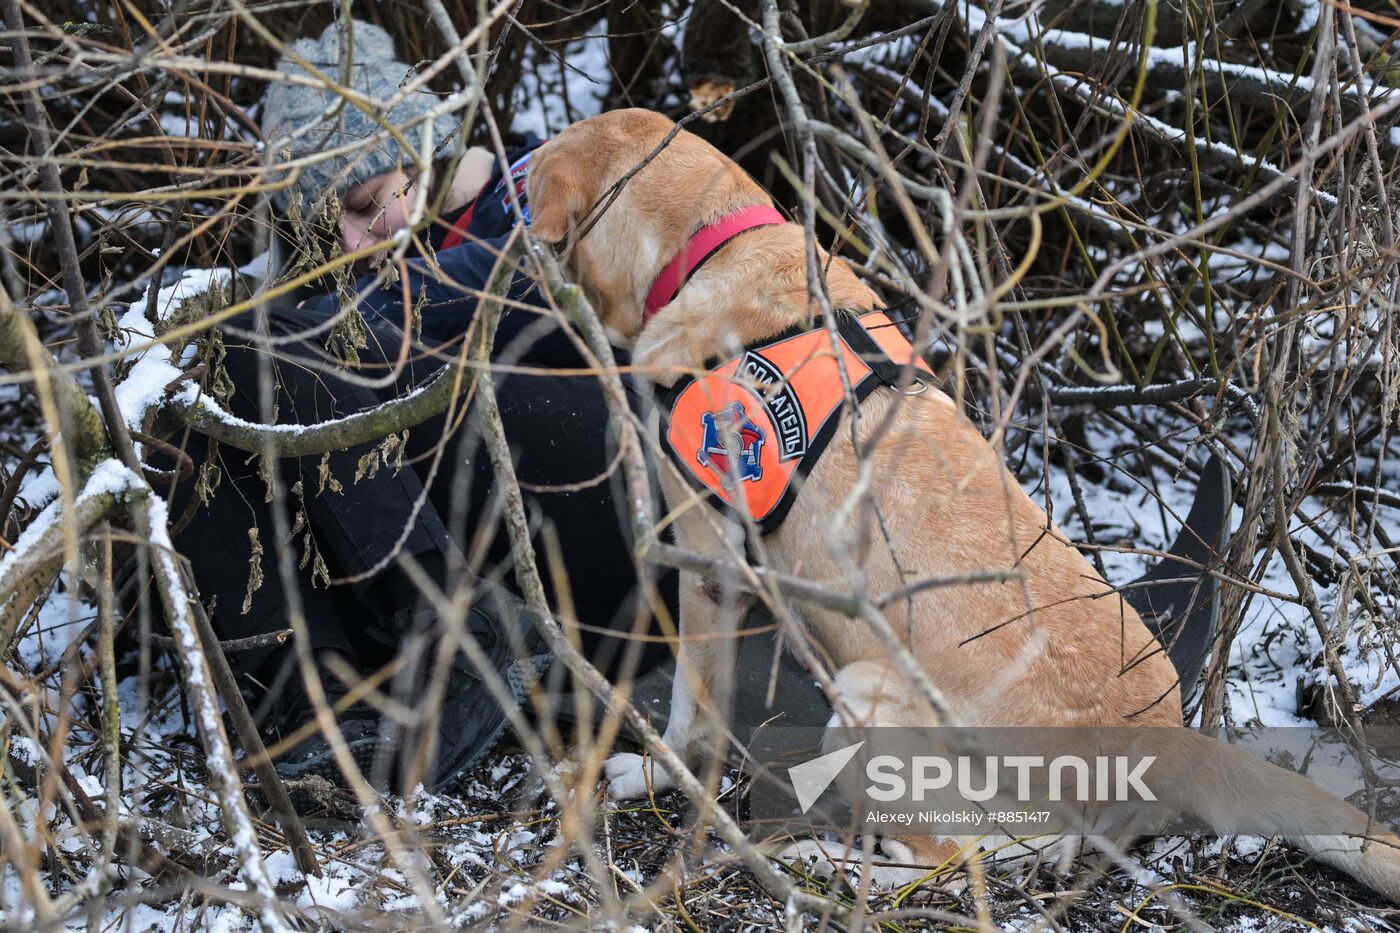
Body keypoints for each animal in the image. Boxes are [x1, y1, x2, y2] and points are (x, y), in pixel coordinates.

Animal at [526, 107, 1400, 896]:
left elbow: (692, 713)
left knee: (954, 859)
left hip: (872, 696)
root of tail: (1167, 740)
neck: (714, 243)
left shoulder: (708, 558)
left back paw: (823, 862)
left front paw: (649, 772)